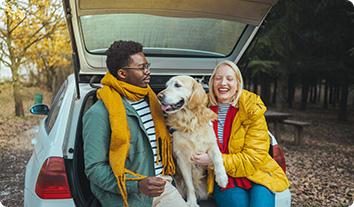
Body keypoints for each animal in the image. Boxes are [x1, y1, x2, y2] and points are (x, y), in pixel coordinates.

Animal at [157, 76, 227, 207]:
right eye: (166, 86)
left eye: (177, 85)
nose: (159, 96)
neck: (189, 120)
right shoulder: (182, 157)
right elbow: (189, 184)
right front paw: (191, 202)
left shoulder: (212, 144)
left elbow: (217, 157)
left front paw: (222, 178)